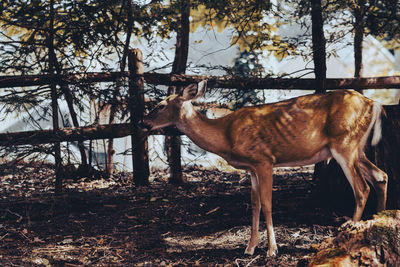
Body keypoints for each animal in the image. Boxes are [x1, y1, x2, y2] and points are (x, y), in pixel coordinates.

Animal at [140, 81, 388, 258]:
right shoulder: (251, 168)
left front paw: (272, 250)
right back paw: (380, 221)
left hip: (345, 142)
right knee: (381, 176)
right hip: (357, 148)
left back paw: (348, 234)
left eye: (160, 105)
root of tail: (373, 103)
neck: (225, 135)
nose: (143, 123)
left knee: (362, 188)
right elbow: (255, 205)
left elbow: (267, 204)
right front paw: (250, 248)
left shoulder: (264, 160)